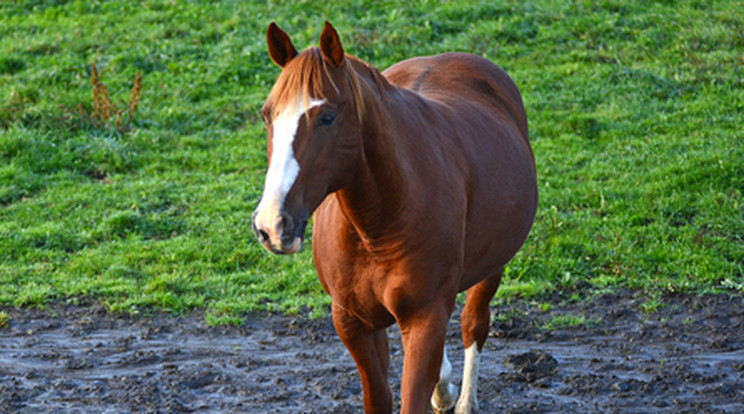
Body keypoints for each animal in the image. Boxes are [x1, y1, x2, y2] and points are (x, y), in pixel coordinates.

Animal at [253, 22, 536, 414]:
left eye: (327, 117)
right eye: (268, 115)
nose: (272, 224)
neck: (376, 226)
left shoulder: (425, 318)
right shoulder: (353, 322)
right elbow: (379, 397)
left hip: (491, 265)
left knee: (473, 324)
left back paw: (464, 399)